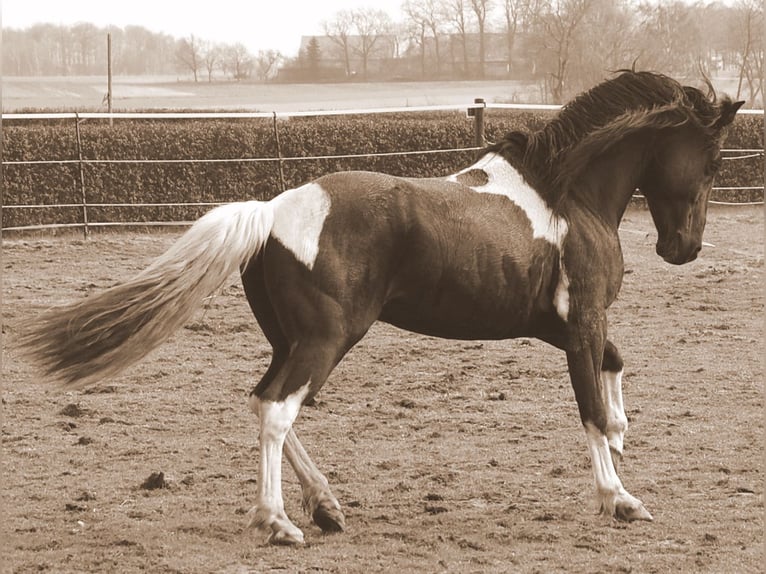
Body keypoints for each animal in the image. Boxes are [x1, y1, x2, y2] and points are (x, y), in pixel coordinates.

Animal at [22, 72, 744, 548]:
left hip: (294, 341)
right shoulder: (581, 326)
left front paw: (623, 435)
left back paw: (325, 507)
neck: (566, 195)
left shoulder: (559, 326)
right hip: (327, 340)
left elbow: (616, 368)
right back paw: (279, 522)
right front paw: (619, 497)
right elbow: (590, 406)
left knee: (267, 401)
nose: (683, 248)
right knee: (278, 409)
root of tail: (271, 210)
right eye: (711, 161)